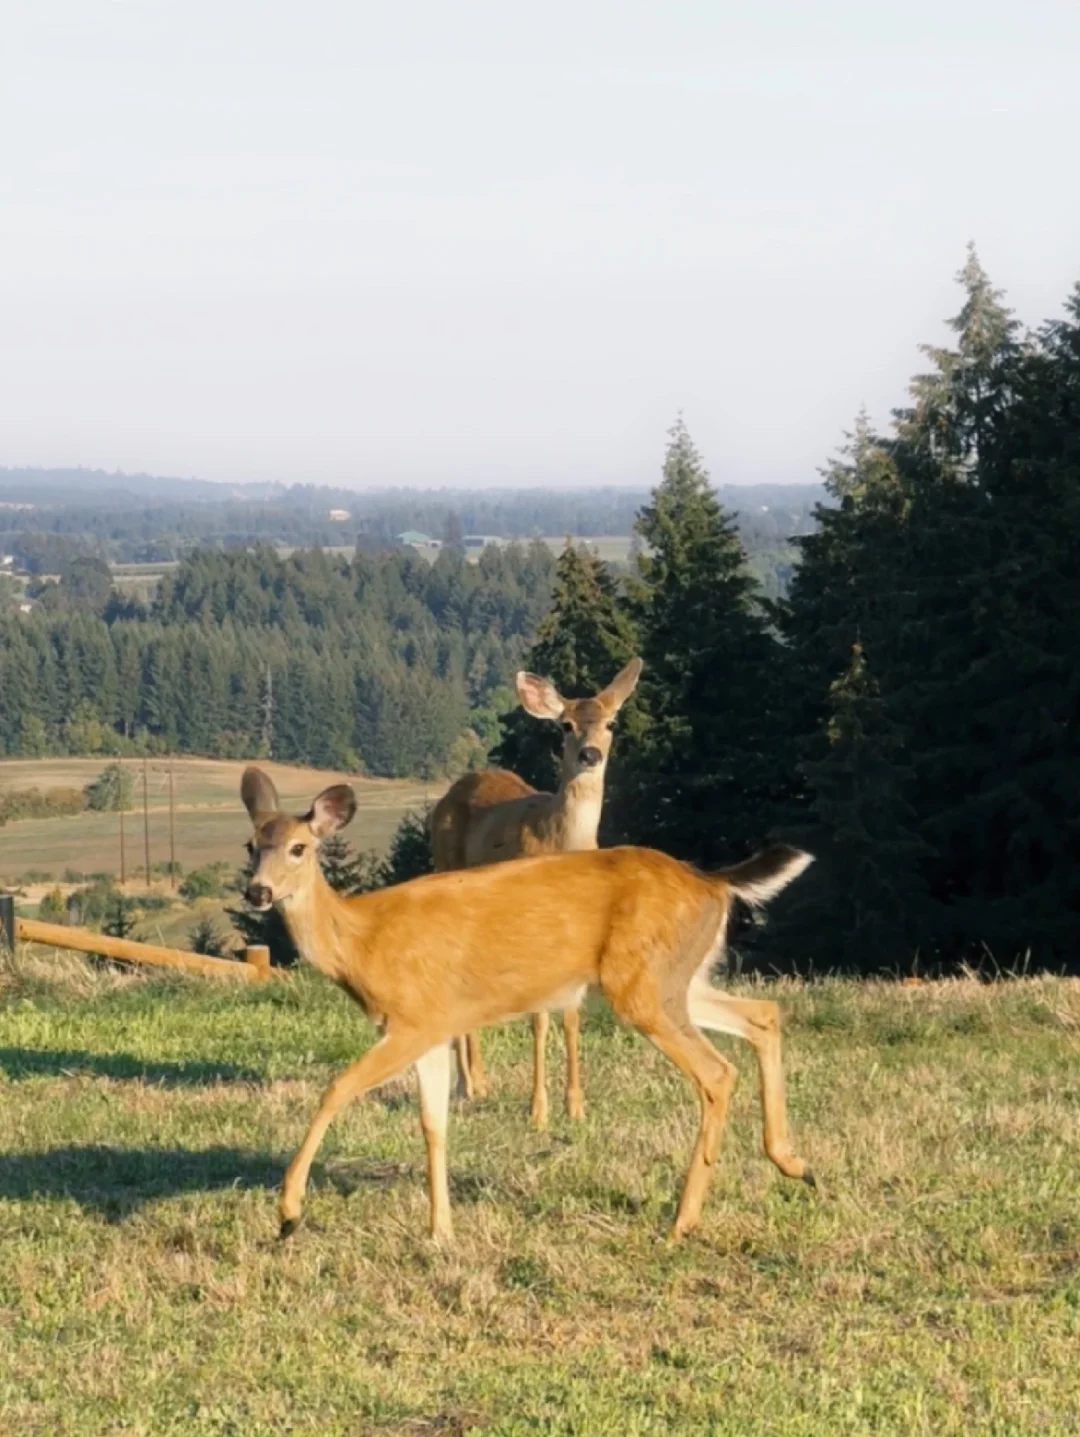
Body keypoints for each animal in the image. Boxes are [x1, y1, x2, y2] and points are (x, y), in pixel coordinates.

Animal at [240, 766, 815, 1246]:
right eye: (251, 845)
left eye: (298, 848)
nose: (258, 892)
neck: (362, 941)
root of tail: (712, 881)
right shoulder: (434, 1027)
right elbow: (434, 1125)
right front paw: (441, 1231)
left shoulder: (414, 1017)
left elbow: (337, 1088)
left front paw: (289, 1212)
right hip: (677, 977)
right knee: (764, 1015)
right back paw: (793, 1163)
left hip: (643, 985)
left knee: (716, 1072)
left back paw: (682, 1221)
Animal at [430, 657, 642, 1128]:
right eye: (565, 725)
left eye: (611, 722)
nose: (590, 754)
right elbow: (540, 1020)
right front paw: (538, 1110)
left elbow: (572, 1018)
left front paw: (576, 1106)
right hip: (447, 870)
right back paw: (465, 1086)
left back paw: (479, 1083)